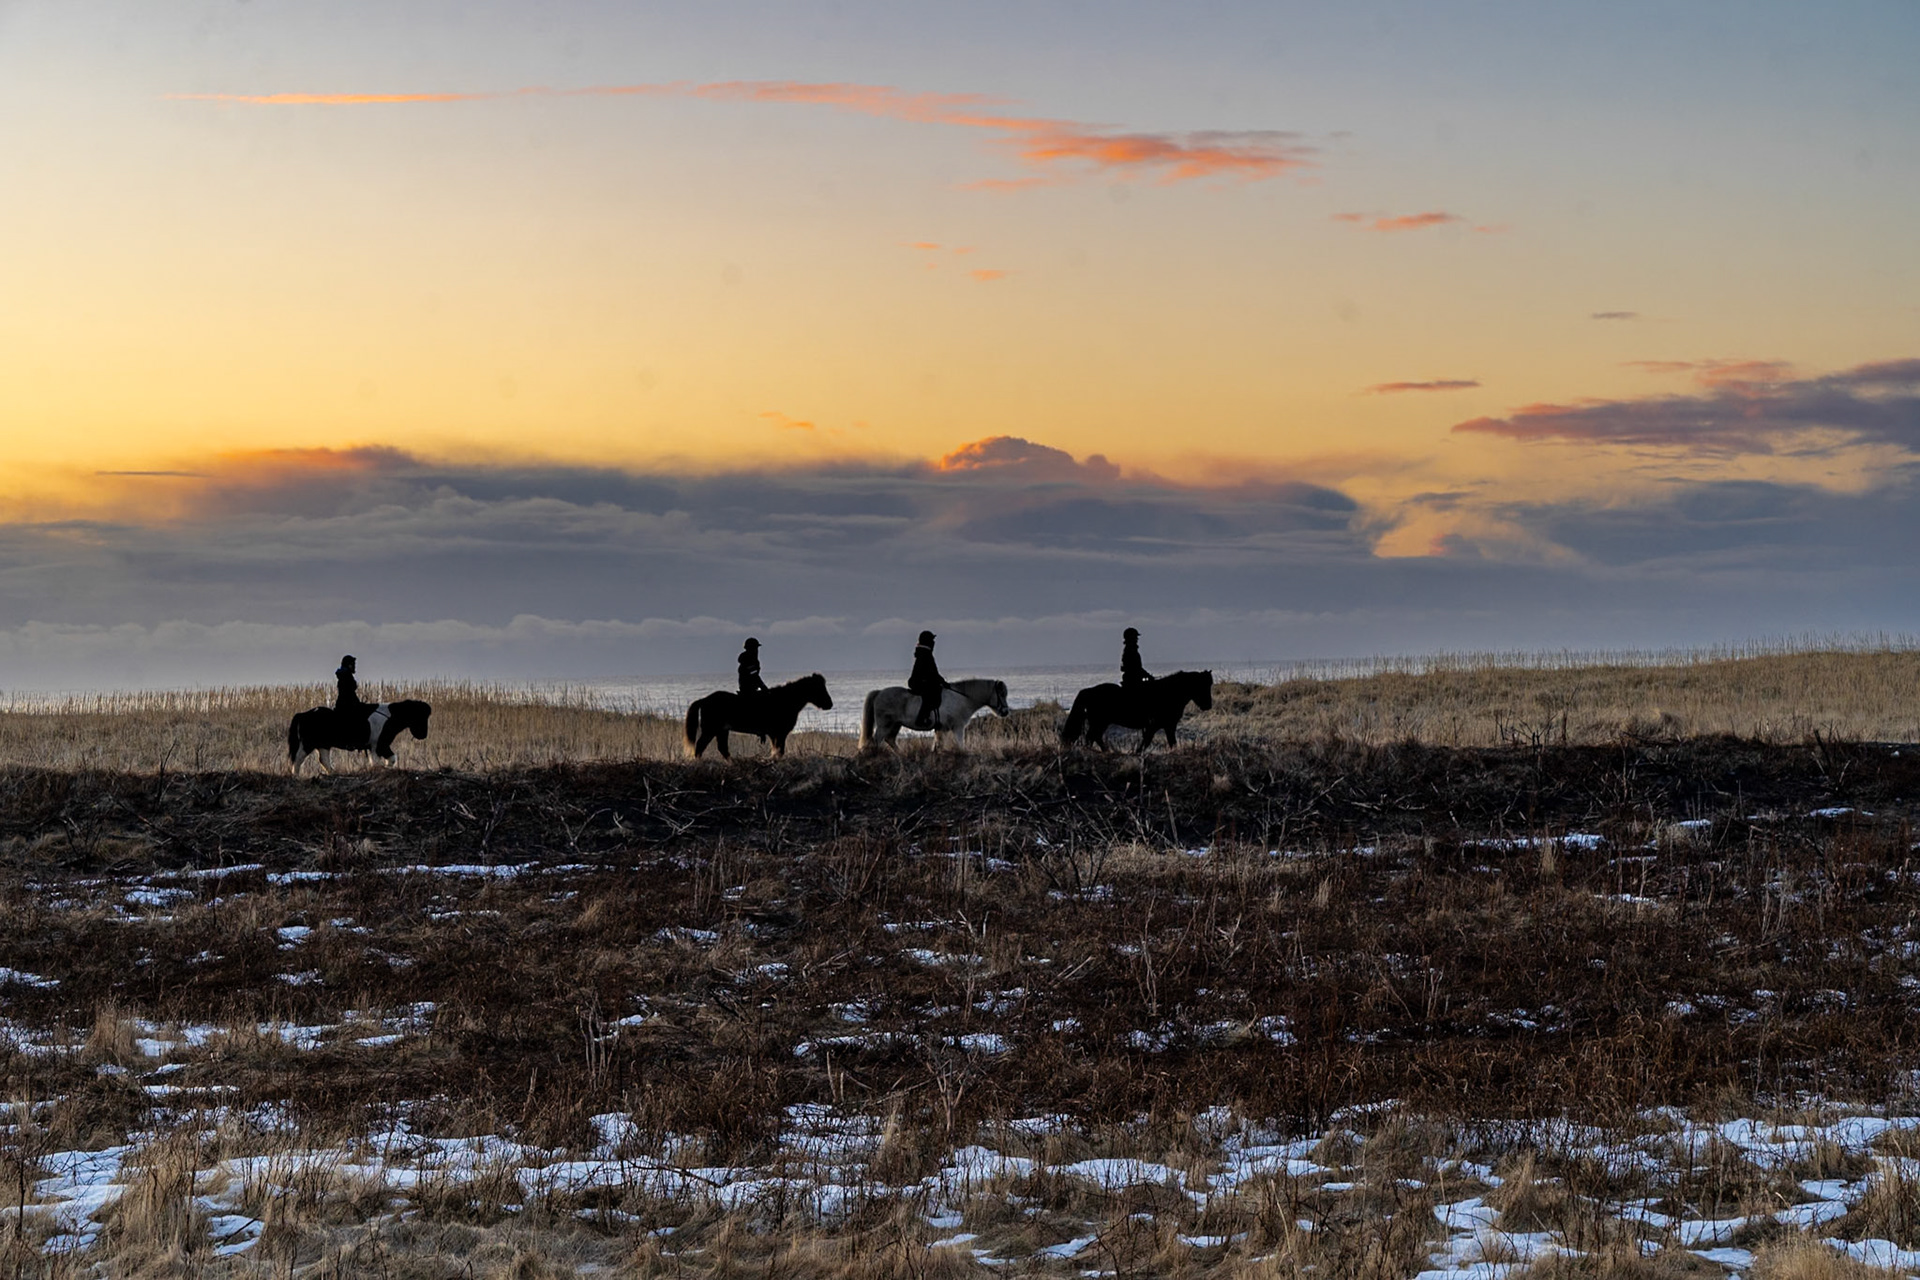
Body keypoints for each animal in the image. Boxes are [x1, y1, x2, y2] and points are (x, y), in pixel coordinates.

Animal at [288, 699, 432, 774]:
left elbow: (388, 759)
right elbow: (386, 760)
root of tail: (303, 714)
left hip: (323, 745)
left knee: (324, 760)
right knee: (298, 759)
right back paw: (296, 776)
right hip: (308, 744)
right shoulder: (379, 746)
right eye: (420, 716)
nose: (423, 735)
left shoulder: (378, 746)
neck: (389, 717)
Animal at [684, 673, 833, 760]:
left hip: (722, 731)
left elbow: (778, 751)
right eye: (819, 688)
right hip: (711, 730)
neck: (785, 700)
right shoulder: (778, 733)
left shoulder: (777, 734)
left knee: (722, 748)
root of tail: (704, 699)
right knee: (700, 746)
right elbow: (779, 751)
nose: (829, 704)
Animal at [859, 677, 1010, 752]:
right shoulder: (958, 727)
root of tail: (879, 692)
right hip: (885, 725)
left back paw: (901, 755)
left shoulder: (941, 729)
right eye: (1001, 694)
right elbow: (960, 744)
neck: (961, 698)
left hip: (895, 725)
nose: (1006, 712)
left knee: (890, 740)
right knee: (877, 740)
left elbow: (938, 745)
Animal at [1060, 670, 1213, 752]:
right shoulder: (1157, 725)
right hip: (1100, 722)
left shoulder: (1168, 726)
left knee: (1094, 737)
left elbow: (1170, 742)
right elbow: (1148, 741)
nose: (1208, 705)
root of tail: (1089, 691)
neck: (1166, 694)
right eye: (1201, 685)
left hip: (1101, 722)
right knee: (1091, 737)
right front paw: (1137, 753)